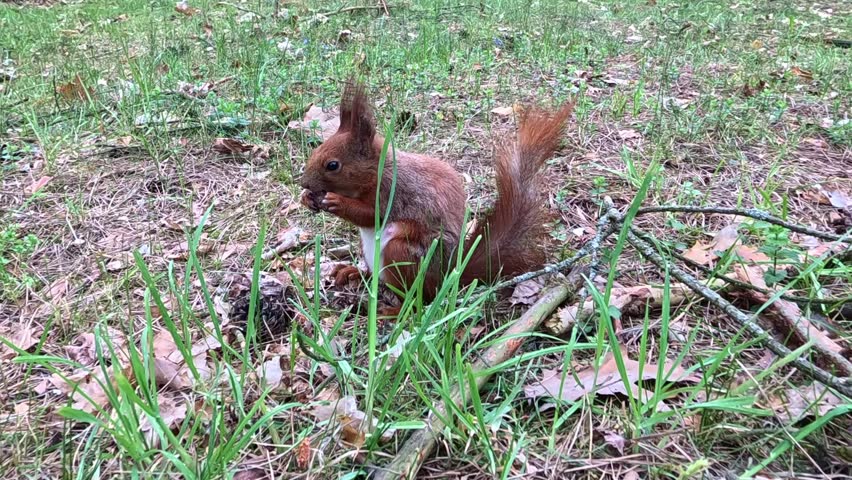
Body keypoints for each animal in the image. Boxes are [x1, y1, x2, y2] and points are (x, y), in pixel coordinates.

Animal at [299, 79, 573, 314]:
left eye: (333, 165)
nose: (303, 183)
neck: (379, 170)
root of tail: (448, 275)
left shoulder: (393, 192)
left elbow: (371, 215)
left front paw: (337, 202)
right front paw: (306, 198)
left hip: (403, 255)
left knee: (418, 301)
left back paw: (392, 311)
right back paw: (355, 272)